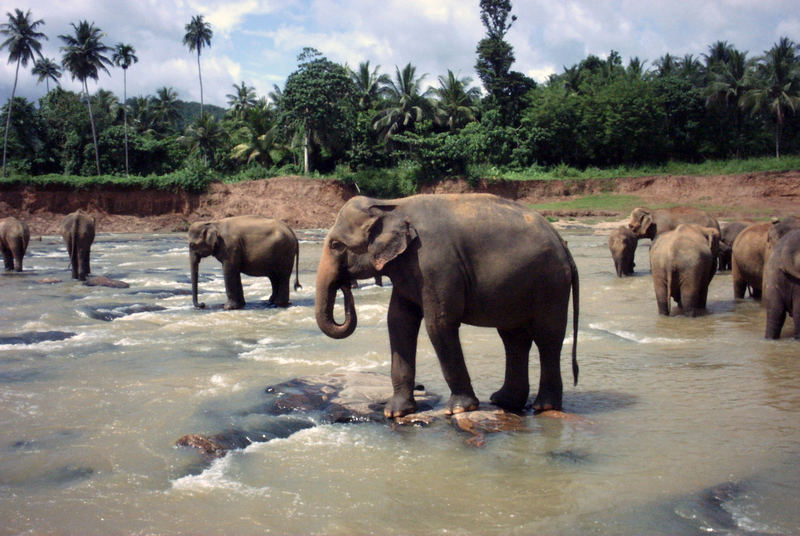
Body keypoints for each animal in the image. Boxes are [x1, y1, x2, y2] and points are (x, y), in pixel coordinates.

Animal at [314, 193, 580, 418]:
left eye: (336, 245)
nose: (346, 285)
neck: (391, 205)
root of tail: (563, 244)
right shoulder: (408, 268)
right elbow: (398, 322)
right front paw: (395, 412)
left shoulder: (435, 263)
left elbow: (439, 324)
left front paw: (459, 409)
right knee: (514, 339)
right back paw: (504, 401)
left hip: (551, 284)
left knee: (547, 337)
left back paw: (543, 407)